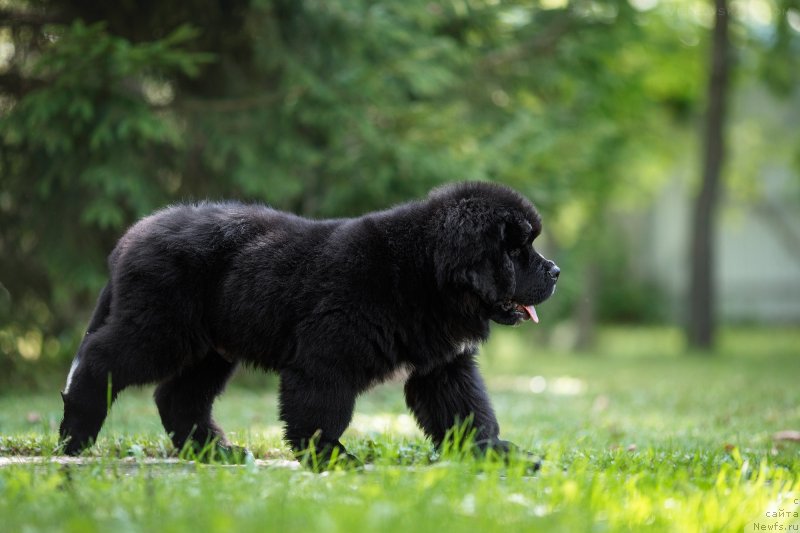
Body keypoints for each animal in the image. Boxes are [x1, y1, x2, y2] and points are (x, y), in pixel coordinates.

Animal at [57, 182, 556, 462]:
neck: (423, 272)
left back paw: (216, 453)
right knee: (100, 360)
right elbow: (321, 411)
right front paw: (329, 458)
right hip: (161, 329)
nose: (555, 271)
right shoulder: (326, 357)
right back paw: (75, 435)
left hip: (212, 347)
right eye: (517, 250)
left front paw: (495, 455)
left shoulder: (442, 366)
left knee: (177, 397)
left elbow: (467, 411)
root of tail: (130, 237)